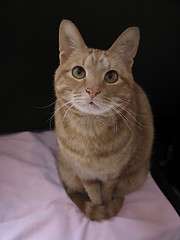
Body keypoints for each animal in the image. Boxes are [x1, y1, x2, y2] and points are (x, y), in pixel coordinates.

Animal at [53, 19, 153, 220]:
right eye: (78, 72)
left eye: (111, 76)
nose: (93, 90)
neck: (90, 130)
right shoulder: (85, 176)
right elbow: (94, 197)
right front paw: (99, 208)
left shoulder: (112, 176)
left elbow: (106, 194)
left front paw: (106, 206)